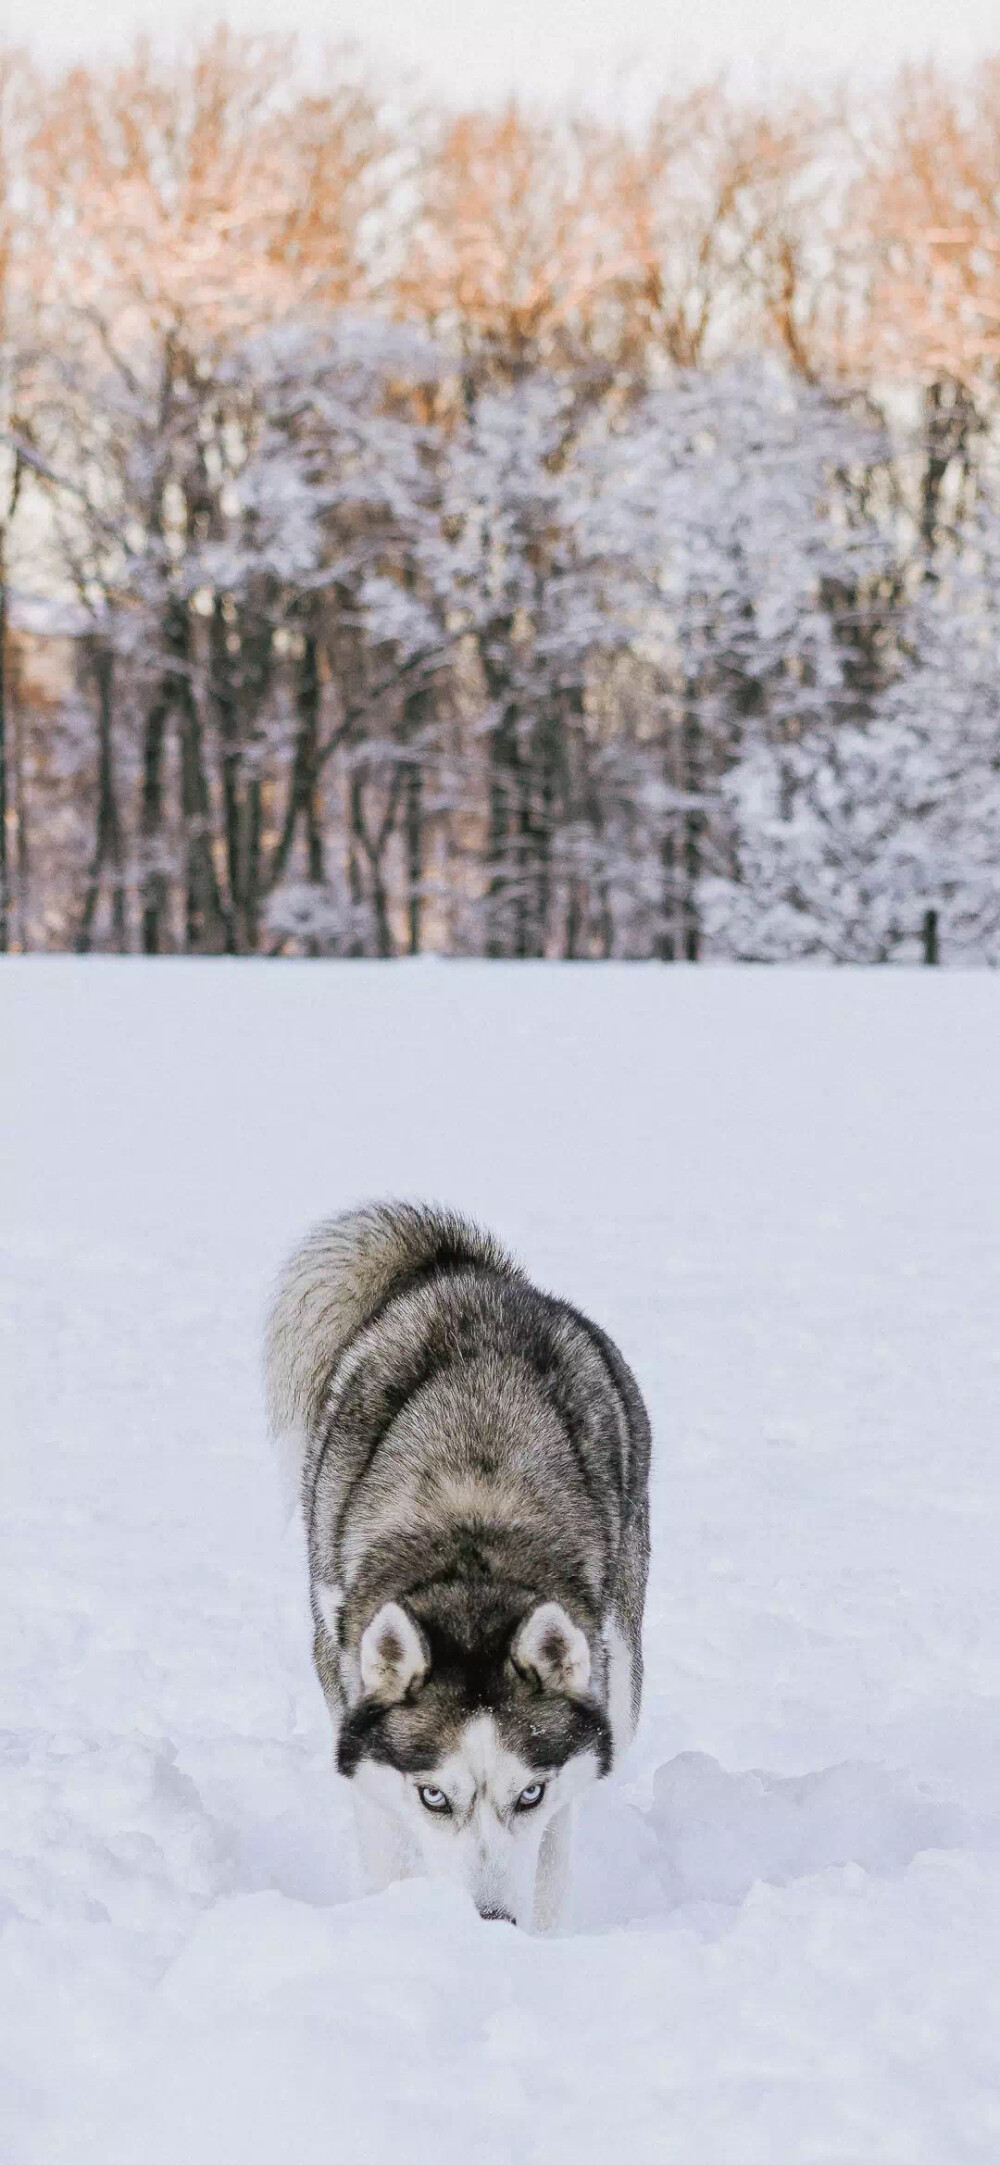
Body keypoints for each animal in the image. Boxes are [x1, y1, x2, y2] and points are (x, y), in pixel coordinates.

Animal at [265, 1203, 653, 1931]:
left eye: (528, 1794)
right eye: (434, 1797)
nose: (488, 1924)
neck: (471, 1546)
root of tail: (462, 1272)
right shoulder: (356, 1709)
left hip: (622, 1657)